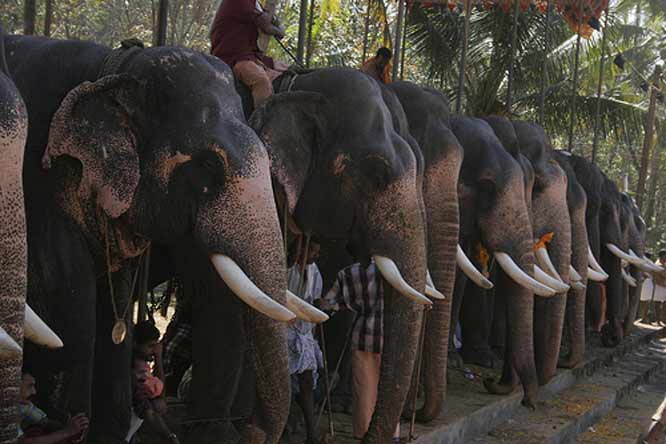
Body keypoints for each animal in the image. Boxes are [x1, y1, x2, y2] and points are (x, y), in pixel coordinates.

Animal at [4, 35, 301, 443]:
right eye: (208, 165)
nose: (252, 429)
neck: (113, 67)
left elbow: (115, 306)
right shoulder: (40, 183)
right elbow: (67, 299)